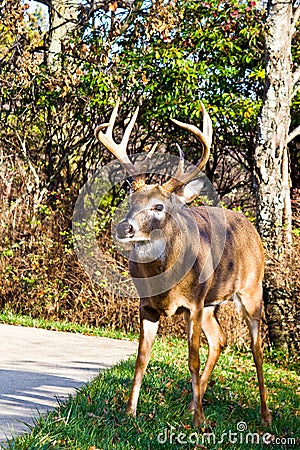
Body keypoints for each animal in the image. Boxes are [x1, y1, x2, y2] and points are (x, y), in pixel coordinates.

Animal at [94, 98, 272, 426]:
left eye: (158, 206)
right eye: (130, 202)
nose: (124, 227)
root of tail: (248, 224)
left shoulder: (193, 304)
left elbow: (192, 359)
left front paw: (200, 423)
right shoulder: (147, 306)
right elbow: (141, 359)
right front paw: (129, 412)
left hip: (250, 290)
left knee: (256, 348)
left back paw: (264, 415)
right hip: (213, 302)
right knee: (220, 339)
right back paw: (192, 403)